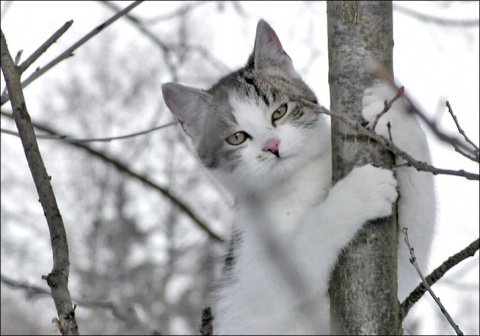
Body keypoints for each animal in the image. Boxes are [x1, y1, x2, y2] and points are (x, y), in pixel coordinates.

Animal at [161, 19, 436, 336]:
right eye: (237, 138)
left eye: (279, 111)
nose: (272, 146)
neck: (299, 181)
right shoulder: (252, 279)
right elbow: (304, 243)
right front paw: (361, 190)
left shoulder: (400, 274)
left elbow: (416, 236)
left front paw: (390, 110)